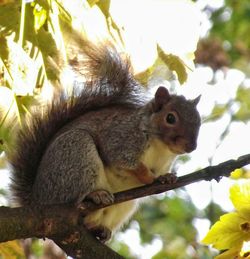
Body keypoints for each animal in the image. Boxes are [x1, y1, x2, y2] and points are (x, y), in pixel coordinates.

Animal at [9, 39, 201, 243]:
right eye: (170, 118)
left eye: (199, 121)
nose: (191, 146)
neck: (161, 148)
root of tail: (37, 200)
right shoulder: (121, 139)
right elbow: (127, 163)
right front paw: (149, 177)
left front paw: (165, 177)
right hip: (76, 154)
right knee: (73, 197)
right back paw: (95, 195)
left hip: (124, 207)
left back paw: (102, 231)